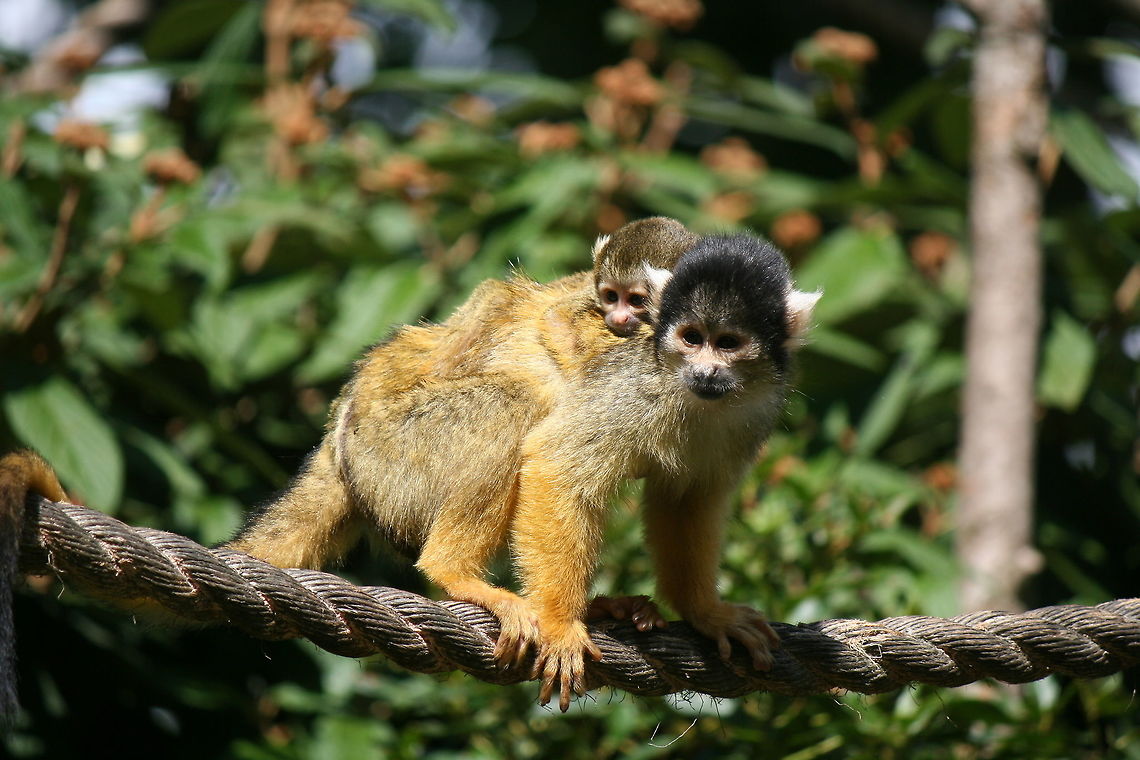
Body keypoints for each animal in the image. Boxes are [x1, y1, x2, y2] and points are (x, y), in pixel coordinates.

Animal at [230, 230, 819, 711]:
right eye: (691, 337)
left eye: (729, 344)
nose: (705, 371)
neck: (691, 395)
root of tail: (340, 441)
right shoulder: (633, 384)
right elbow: (558, 465)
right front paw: (559, 624)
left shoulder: (755, 412)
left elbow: (687, 499)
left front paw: (705, 611)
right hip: (391, 448)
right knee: (511, 404)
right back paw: (457, 573)